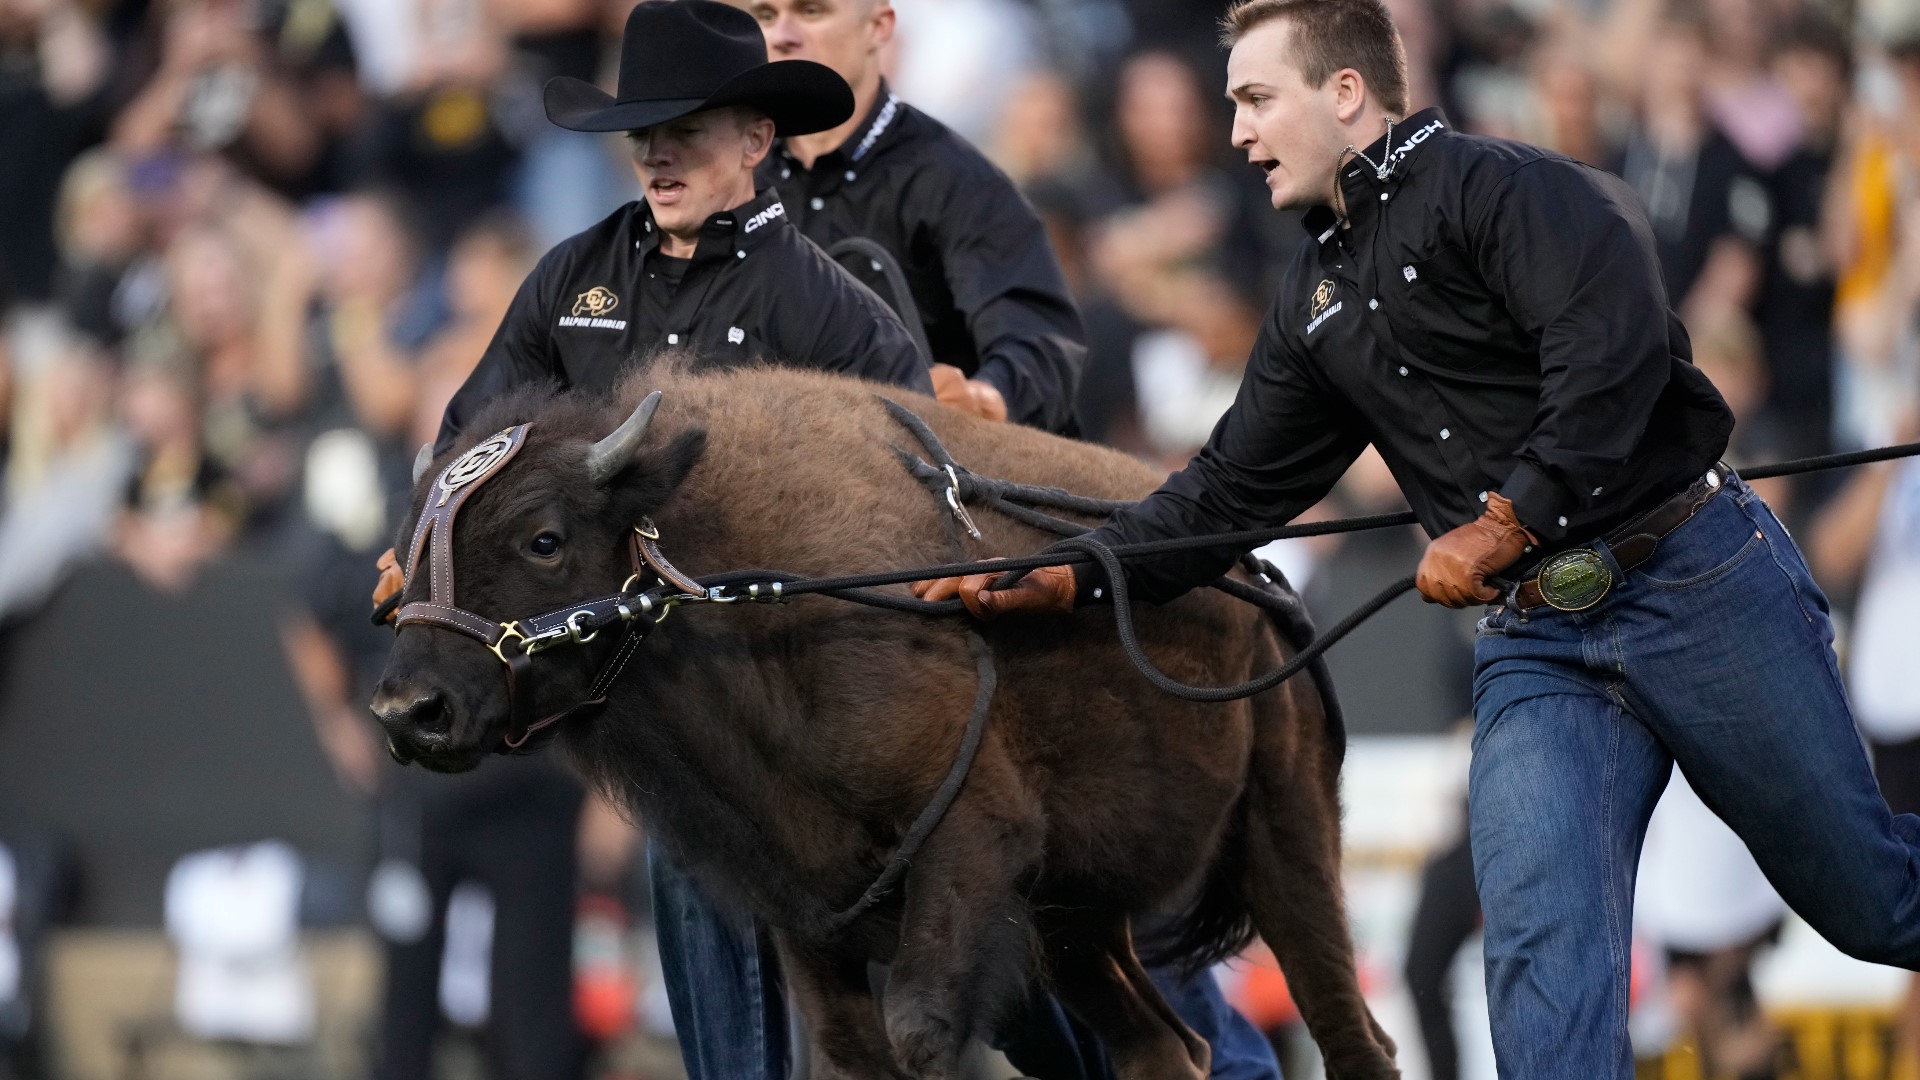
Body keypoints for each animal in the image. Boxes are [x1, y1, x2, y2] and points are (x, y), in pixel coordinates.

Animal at [366, 363, 1405, 1076]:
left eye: (543, 538)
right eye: (409, 546)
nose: (410, 711)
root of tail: (1264, 576)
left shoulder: (967, 847)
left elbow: (919, 1035)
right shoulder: (805, 906)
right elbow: (852, 1051)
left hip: (1284, 837)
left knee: (1351, 1034)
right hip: (1079, 928)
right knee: (1163, 1048)